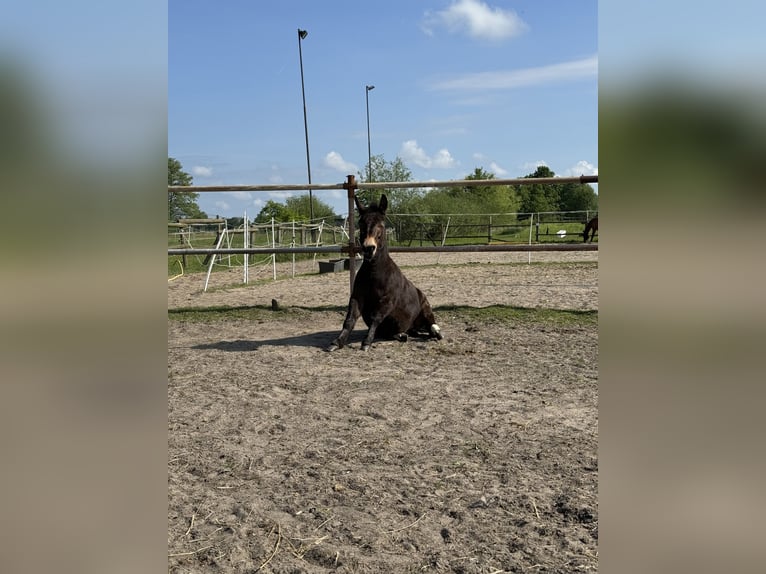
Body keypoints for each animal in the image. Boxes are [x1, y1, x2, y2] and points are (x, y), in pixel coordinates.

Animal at [326, 196, 444, 354]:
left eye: (381, 224)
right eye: (361, 223)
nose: (369, 248)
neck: (374, 274)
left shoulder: (388, 301)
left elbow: (375, 318)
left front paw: (366, 343)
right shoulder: (357, 297)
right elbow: (349, 319)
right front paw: (336, 342)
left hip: (426, 310)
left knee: (431, 326)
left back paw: (436, 333)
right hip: (410, 326)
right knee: (410, 331)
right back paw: (402, 335)